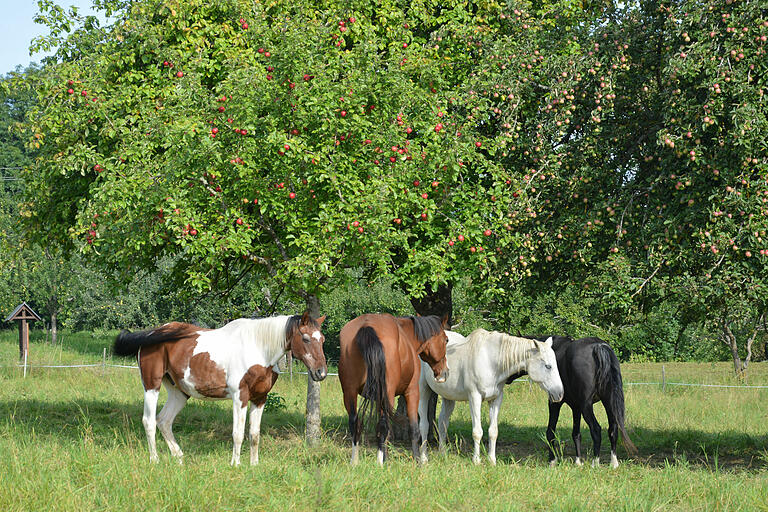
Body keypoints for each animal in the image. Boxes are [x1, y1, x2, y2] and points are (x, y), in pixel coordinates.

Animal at [114, 310, 328, 466]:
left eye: (323, 339)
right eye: (306, 338)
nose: (321, 373)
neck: (258, 347)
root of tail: (152, 334)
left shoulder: (260, 399)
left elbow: (254, 434)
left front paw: (254, 465)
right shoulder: (240, 396)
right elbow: (238, 433)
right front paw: (236, 464)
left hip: (179, 392)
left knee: (164, 421)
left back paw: (179, 458)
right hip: (152, 386)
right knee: (149, 421)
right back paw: (155, 460)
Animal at [338, 314, 450, 466]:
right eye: (446, 340)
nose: (445, 372)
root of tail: (367, 325)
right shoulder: (412, 392)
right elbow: (414, 428)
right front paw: (417, 460)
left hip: (350, 393)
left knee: (355, 423)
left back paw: (354, 462)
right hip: (387, 395)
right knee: (383, 425)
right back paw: (380, 462)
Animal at [420, 330, 564, 466]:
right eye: (548, 366)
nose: (560, 393)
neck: (490, 361)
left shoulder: (496, 399)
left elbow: (493, 431)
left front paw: (492, 460)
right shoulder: (475, 397)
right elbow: (477, 432)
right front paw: (476, 461)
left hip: (448, 397)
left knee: (442, 422)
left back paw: (443, 454)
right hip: (423, 391)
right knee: (424, 425)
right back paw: (423, 458)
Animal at [508, 336, 640, 468]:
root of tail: (598, 346)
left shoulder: (555, 403)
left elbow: (550, 432)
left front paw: (552, 461)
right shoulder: (576, 407)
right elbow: (576, 434)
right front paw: (578, 462)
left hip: (587, 406)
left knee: (596, 429)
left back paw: (595, 463)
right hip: (608, 402)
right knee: (613, 429)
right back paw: (614, 463)